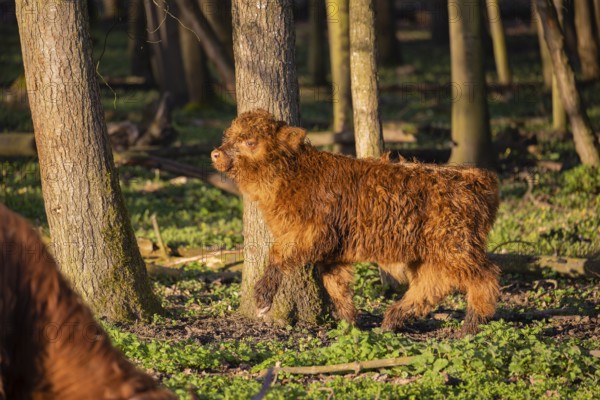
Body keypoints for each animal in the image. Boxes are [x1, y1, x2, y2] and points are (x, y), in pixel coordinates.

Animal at [211, 108, 502, 334]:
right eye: (229, 136)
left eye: (250, 141)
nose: (215, 153)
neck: (295, 177)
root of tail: (479, 178)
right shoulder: (331, 252)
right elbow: (336, 286)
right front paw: (350, 324)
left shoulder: (310, 231)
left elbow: (278, 253)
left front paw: (262, 298)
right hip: (430, 254)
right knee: (431, 286)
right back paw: (391, 320)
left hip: (456, 246)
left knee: (484, 276)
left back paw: (469, 327)